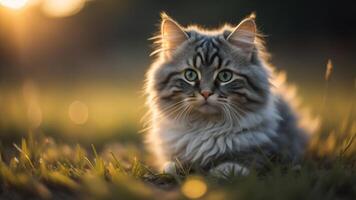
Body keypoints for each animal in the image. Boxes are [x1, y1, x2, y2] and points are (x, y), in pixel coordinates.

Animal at [143, 13, 318, 177]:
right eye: (190, 75)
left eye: (225, 76)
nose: (206, 93)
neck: (206, 127)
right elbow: (171, 165)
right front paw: (180, 167)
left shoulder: (269, 152)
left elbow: (240, 163)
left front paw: (222, 171)